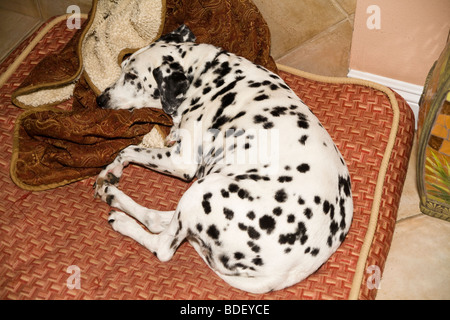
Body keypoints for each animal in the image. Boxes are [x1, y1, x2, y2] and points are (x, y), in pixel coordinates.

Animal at [95, 25, 354, 294]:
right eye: (123, 66)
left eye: (133, 77)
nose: (100, 99)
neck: (207, 74)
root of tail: (278, 276)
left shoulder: (180, 162)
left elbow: (127, 149)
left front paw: (112, 168)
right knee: (157, 220)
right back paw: (112, 196)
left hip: (202, 190)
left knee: (162, 245)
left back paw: (123, 221)